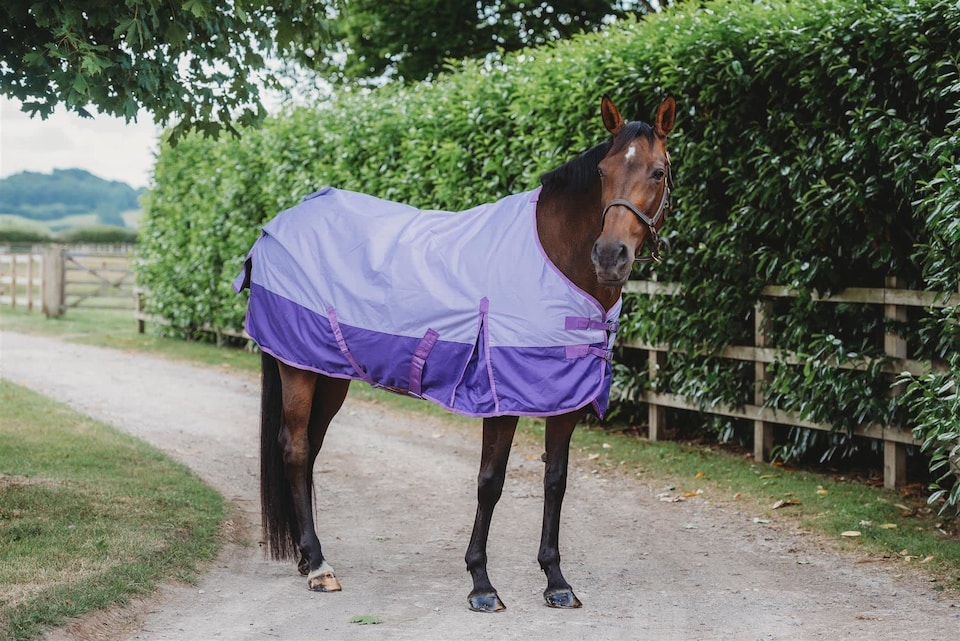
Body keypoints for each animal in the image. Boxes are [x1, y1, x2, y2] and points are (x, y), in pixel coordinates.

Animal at [234, 94, 676, 612]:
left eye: (658, 172)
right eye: (604, 171)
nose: (609, 256)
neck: (553, 257)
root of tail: (277, 224)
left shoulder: (565, 398)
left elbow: (556, 480)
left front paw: (556, 581)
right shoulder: (502, 397)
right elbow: (491, 482)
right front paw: (482, 584)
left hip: (328, 372)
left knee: (309, 447)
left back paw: (308, 558)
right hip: (297, 369)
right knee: (296, 448)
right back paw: (320, 567)